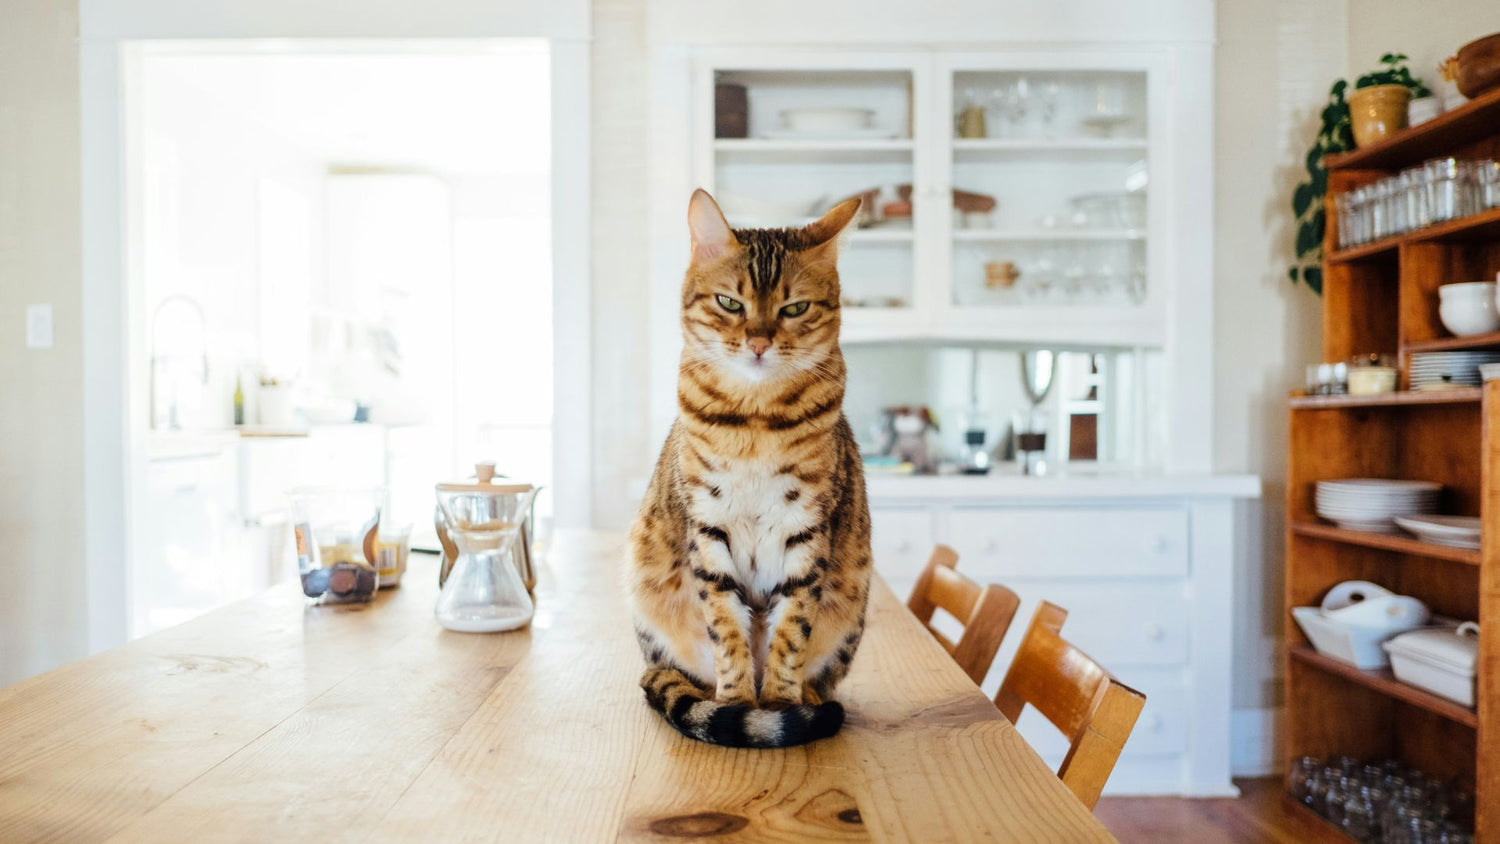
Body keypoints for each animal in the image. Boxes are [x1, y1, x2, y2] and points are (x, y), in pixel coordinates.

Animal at [624, 189, 876, 746]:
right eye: (730, 303)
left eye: (795, 307)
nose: (759, 342)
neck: (756, 422)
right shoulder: (708, 525)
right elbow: (725, 627)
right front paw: (738, 703)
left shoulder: (807, 528)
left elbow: (792, 630)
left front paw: (779, 703)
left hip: (852, 604)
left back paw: (806, 700)